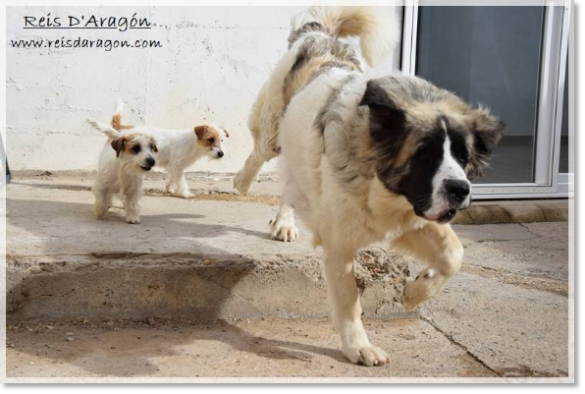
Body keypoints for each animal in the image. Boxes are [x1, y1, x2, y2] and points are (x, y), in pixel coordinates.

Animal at [233, 6, 502, 366]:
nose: (461, 190)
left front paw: (415, 293)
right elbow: (349, 300)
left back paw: (285, 222)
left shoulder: (410, 219)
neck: (377, 178)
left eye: (462, 156)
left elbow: (453, 253)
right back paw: (243, 182)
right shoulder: (340, 245)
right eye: (424, 153)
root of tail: (321, 35)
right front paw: (358, 346)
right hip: (273, 129)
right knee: (259, 153)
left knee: (292, 184)